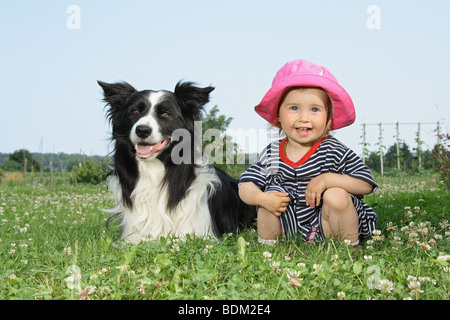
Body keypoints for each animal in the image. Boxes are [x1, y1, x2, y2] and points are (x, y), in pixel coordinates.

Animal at [99, 80, 256, 242]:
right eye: (135, 111)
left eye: (166, 114)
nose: (142, 130)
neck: (155, 169)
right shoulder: (133, 235)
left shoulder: (198, 234)